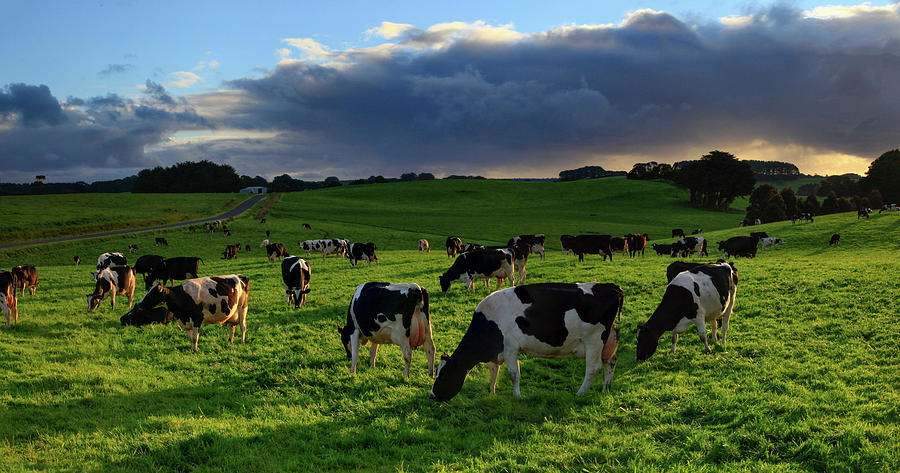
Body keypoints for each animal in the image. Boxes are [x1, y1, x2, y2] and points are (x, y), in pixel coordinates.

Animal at [121, 272, 251, 350]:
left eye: (152, 294)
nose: (138, 303)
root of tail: (239, 276)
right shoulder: (185, 320)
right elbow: (190, 338)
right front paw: (192, 349)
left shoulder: (197, 319)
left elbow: (195, 337)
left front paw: (195, 350)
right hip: (232, 312)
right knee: (231, 327)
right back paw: (230, 342)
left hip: (242, 307)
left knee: (242, 326)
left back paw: (242, 341)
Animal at [428, 282, 624, 400]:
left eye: (443, 375)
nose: (431, 395)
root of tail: (610, 286)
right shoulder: (497, 351)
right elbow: (494, 372)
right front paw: (492, 392)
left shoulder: (510, 348)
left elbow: (513, 374)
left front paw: (516, 396)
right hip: (608, 340)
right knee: (611, 361)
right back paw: (606, 389)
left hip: (594, 340)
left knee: (593, 368)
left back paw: (580, 393)